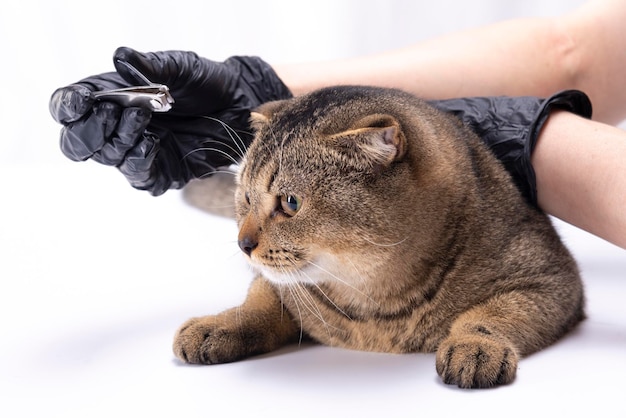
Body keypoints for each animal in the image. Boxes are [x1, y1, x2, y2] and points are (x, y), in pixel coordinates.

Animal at [173, 85, 584, 388]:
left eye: (290, 203)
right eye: (245, 197)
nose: (243, 244)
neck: (375, 308)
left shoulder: (551, 277)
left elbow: (491, 314)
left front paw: (476, 344)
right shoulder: (285, 286)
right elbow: (260, 302)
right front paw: (221, 324)